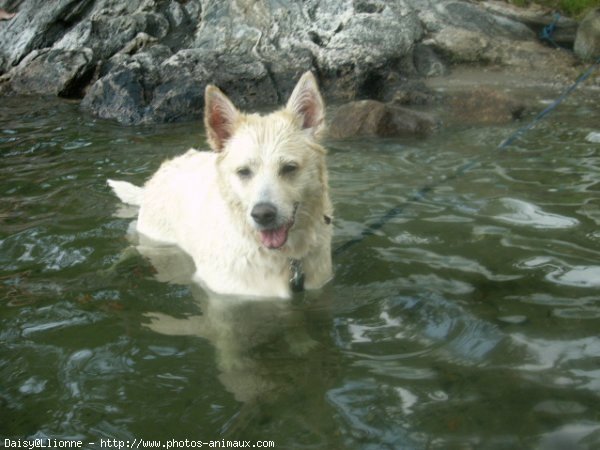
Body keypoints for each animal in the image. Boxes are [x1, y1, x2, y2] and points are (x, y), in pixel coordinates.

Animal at [108, 71, 332, 298]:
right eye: (243, 171)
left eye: (289, 168)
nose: (263, 215)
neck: (283, 257)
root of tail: (163, 169)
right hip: (154, 238)